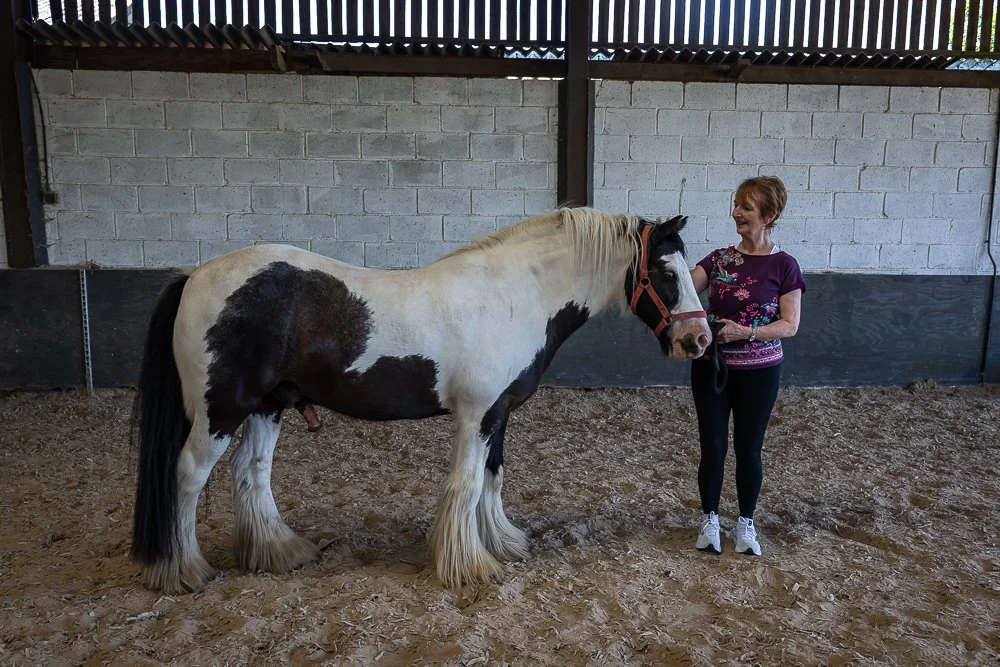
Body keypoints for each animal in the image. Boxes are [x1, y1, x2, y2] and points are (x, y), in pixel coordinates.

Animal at [130, 207, 711, 594]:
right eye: (666, 272)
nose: (699, 340)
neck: (515, 294)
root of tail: (195, 276)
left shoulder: (498, 413)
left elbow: (493, 478)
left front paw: (501, 543)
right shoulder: (477, 414)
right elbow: (467, 483)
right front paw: (469, 566)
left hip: (267, 406)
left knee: (251, 473)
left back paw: (279, 552)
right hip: (221, 411)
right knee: (187, 476)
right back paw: (184, 571)